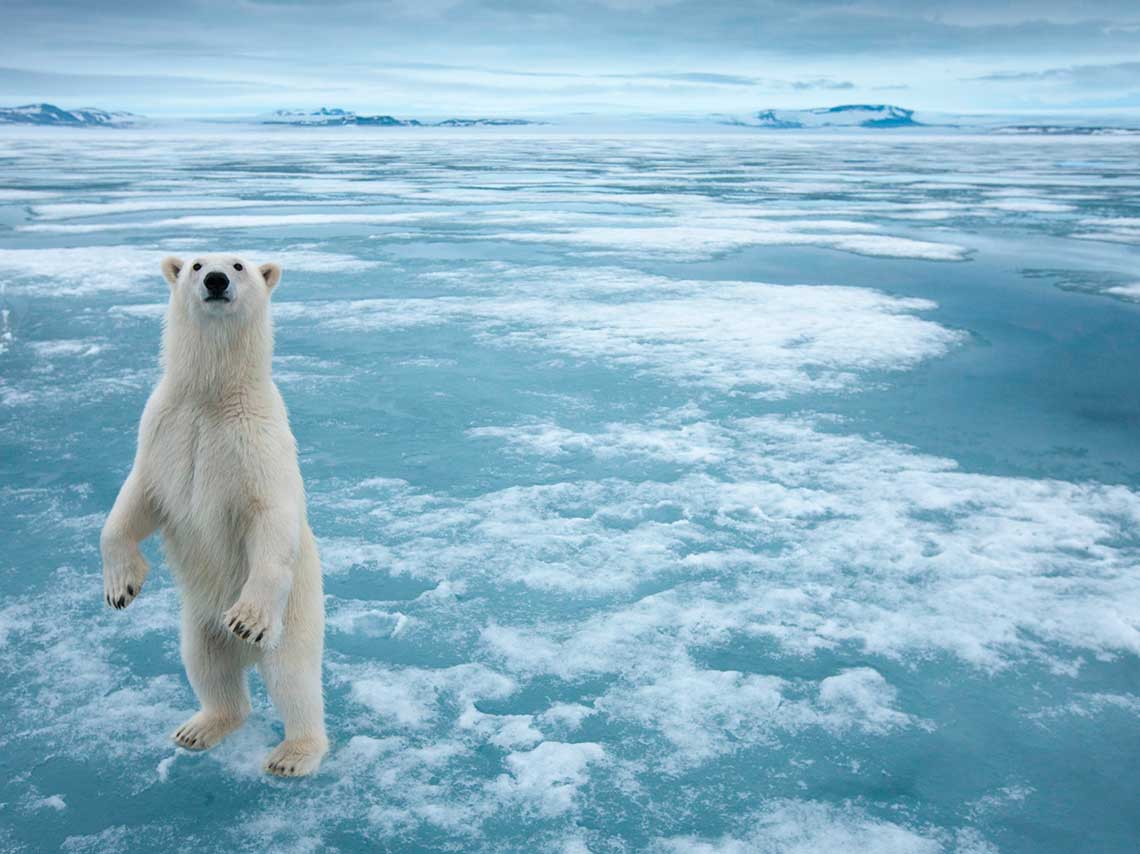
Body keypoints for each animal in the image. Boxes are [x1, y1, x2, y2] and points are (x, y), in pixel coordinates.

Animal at [100, 251, 328, 770]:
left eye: (239, 265)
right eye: (196, 264)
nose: (217, 281)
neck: (211, 396)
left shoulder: (257, 443)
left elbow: (270, 516)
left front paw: (246, 618)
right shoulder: (164, 430)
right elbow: (136, 501)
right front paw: (122, 587)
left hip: (297, 613)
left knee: (293, 677)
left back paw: (294, 753)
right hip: (198, 619)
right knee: (205, 664)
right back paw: (200, 727)